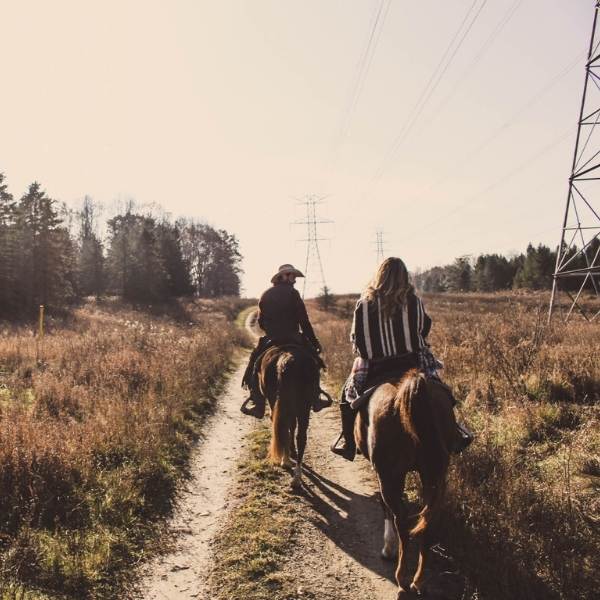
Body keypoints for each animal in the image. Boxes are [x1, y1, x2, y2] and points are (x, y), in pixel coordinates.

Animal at [258, 342, 324, 488]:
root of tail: (288, 358)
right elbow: (292, 426)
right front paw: (290, 452)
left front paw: (287, 456)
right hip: (304, 406)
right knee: (301, 437)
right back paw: (296, 477)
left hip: (280, 402)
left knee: (284, 428)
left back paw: (288, 464)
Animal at [354, 368, 458, 596]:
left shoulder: (384, 474)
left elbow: (385, 507)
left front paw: (388, 548)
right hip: (432, 474)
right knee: (428, 518)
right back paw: (418, 581)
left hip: (389, 475)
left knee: (401, 518)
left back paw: (401, 578)